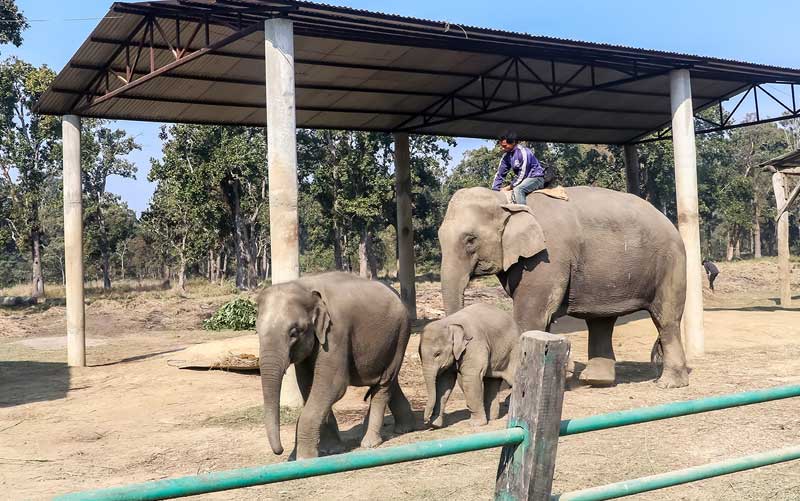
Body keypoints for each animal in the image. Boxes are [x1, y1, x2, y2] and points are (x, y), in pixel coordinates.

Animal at [258, 272, 418, 458]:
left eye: (294, 332)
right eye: (257, 331)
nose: (281, 451)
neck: (304, 286)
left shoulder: (335, 333)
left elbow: (332, 385)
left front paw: (305, 458)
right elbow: (308, 386)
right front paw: (331, 450)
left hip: (401, 333)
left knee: (384, 383)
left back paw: (370, 443)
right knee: (390, 382)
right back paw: (405, 428)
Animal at [438, 187, 688, 386]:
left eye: (471, 240)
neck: (506, 201)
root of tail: (667, 218)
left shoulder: (547, 257)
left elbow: (531, 315)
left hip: (670, 263)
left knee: (666, 319)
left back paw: (669, 384)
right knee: (601, 321)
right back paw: (595, 380)